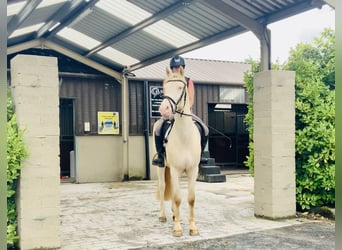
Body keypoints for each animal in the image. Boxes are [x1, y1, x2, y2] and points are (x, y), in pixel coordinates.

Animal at [154, 66, 202, 236]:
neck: (184, 137)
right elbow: (177, 198)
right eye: (165, 88)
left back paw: (176, 215)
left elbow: (191, 198)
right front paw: (177, 229)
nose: (164, 109)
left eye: (181, 88)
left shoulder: (192, 170)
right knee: (163, 187)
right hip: (162, 168)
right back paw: (163, 216)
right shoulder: (175, 169)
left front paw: (193, 228)